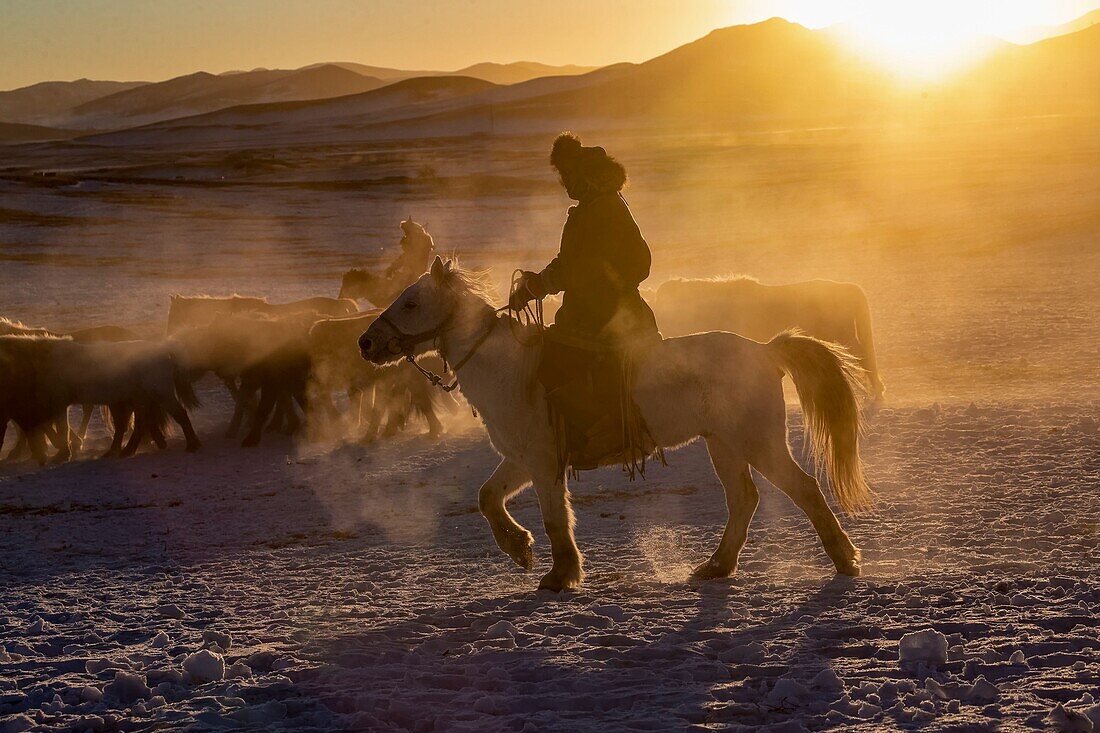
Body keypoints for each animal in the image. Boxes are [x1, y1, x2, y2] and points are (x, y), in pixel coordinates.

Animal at [356, 256, 871, 589]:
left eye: (411, 302)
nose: (365, 343)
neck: (509, 369)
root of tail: (766, 350)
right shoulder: (522, 460)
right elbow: (487, 498)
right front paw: (519, 549)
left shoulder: (543, 461)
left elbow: (555, 519)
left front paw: (560, 574)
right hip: (723, 444)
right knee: (743, 500)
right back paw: (716, 568)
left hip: (757, 441)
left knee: (803, 489)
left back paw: (845, 560)